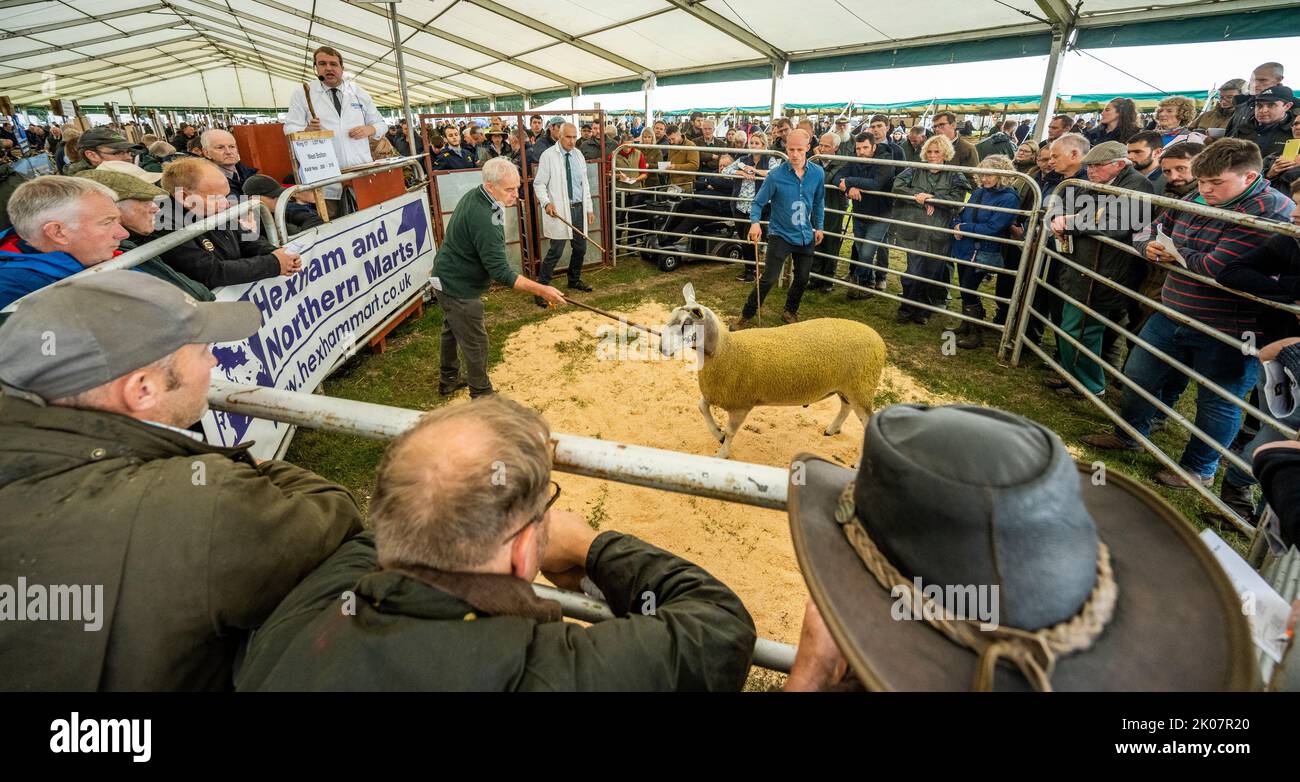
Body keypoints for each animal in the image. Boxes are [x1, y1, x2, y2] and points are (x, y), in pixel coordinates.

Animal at [660, 281, 883, 457]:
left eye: (685, 324)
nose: (662, 348)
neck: (725, 350)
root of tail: (878, 339)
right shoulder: (716, 393)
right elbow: (701, 407)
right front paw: (718, 434)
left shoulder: (741, 404)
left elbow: (731, 432)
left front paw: (722, 452)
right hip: (848, 387)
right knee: (845, 406)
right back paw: (831, 429)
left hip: (862, 387)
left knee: (864, 419)